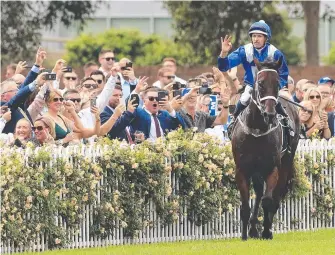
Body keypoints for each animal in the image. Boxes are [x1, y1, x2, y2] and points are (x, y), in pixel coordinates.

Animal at [232, 57, 300, 239]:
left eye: (277, 84)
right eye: (261, 83)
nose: (269, 114)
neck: (257, 129)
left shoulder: (272, 167)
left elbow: (268, 200)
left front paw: (266, 231)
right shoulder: (242, 169)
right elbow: (245, 205)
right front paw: (244, 236)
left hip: (286, 161)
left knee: (275, 196)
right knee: (258, 193)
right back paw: (253, 229)